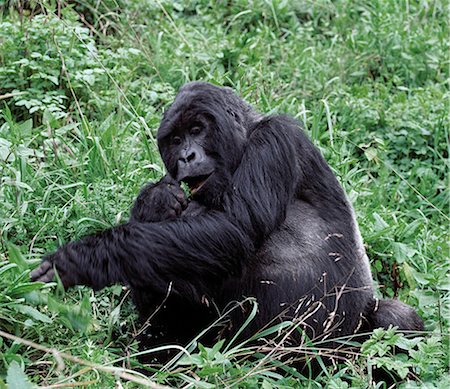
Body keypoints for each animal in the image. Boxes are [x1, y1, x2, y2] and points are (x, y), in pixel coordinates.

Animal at [30, 80, 422, 362]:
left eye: (198, 129)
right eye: (175, 139)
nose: (187, 156)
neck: (245, 139)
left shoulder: (277, 138)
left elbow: (232, 230)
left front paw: (85, 257)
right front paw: (155, 201)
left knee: (393, 318)